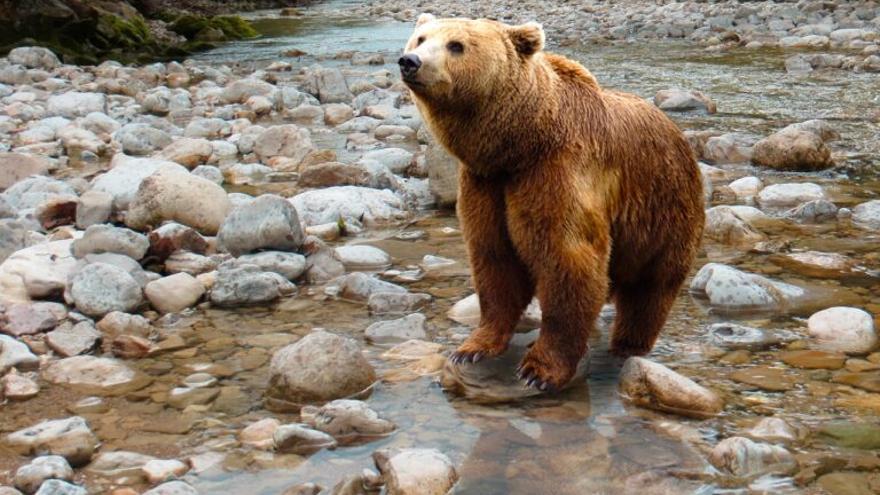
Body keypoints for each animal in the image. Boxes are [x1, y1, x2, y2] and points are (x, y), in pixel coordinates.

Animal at [399, 14, 705, 391]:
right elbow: (494, 260)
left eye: (456, 45)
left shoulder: (557, 172)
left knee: (650, 289)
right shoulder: (486, 185)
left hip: (664, 209)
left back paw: (627, 344)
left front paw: (539, 370)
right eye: (420, 38)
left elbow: (567, 259)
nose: (410, 61)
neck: (519, 144)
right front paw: (472, 348)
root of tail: (678, 133)